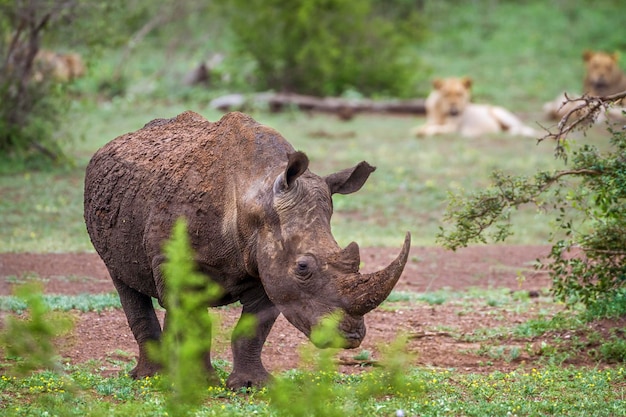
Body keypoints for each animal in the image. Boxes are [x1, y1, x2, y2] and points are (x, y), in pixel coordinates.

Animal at [412, 76, 540, 138]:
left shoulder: (452, 127)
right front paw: (418, 130)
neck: (441, 112)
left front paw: (423, 132)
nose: (454, 106)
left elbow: (435, 129)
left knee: (523, 129)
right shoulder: (430, 122)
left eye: (460, 94)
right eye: (446, 94)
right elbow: (421, 127)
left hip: (501, 114)